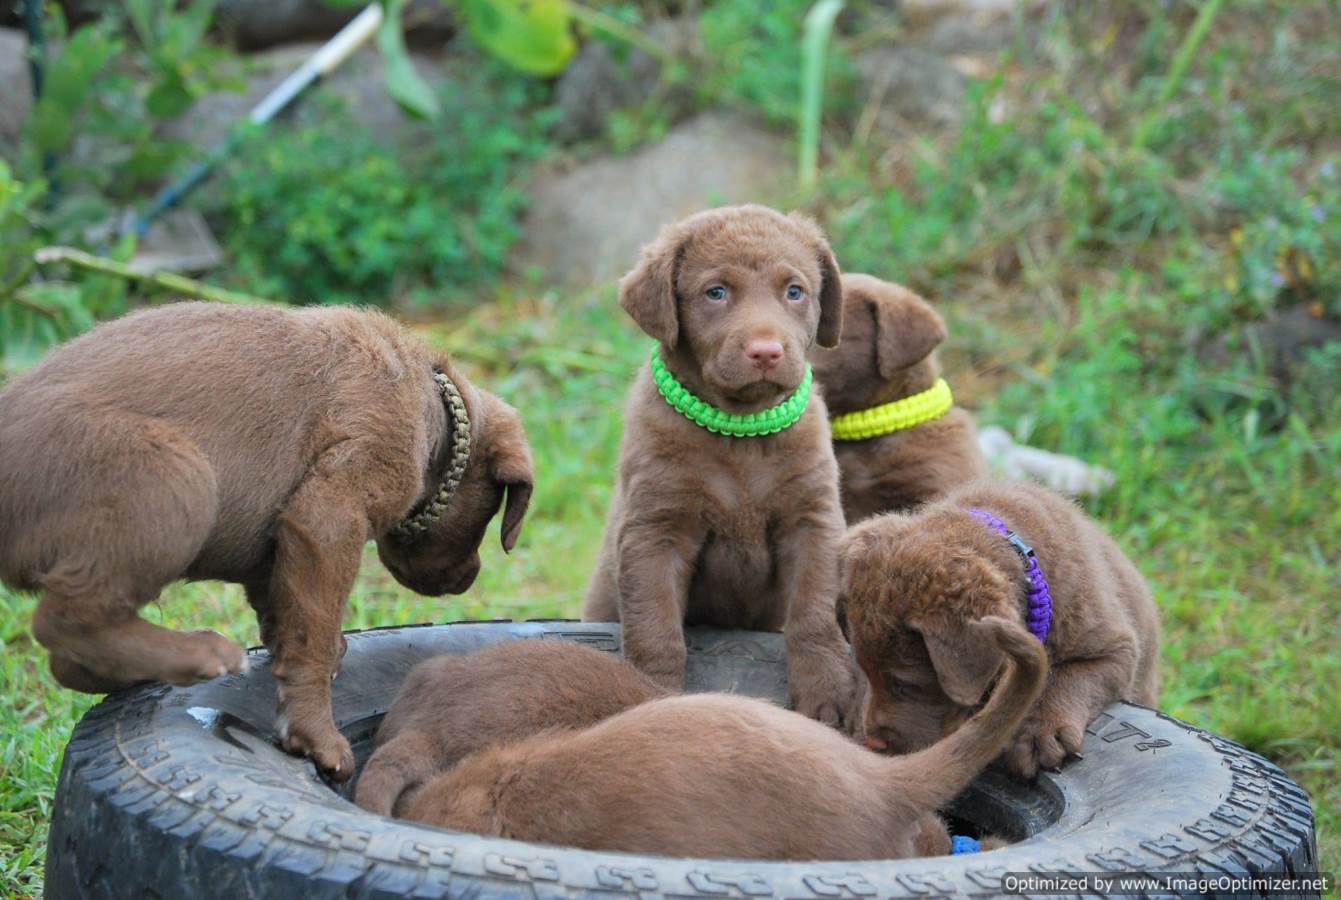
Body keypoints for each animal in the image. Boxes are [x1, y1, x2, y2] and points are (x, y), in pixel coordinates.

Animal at [0, 302, 534, 780]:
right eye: (491, 514)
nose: (468, 580)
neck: (435, 405)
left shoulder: (281, 540)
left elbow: (287, 612)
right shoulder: (330, 513)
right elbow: (314, 629)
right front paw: (316, 737)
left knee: (69, 658)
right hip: (174, 475)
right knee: (66, 622)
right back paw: (200, 655)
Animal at [583, 205, 856, 726]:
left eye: (794, 291)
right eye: (716, 292)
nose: (766, 352)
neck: (740, 432)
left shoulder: (812, 520)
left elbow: (814, 615)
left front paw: (828, 691)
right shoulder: (656, 529)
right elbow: (656, 631)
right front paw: (655, 698)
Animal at [839, 478, 1160, 779]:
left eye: (906, 685)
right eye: (865, 672)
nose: (874, 744)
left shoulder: (1116, 649)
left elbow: (1071, 678)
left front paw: (1041, 733)